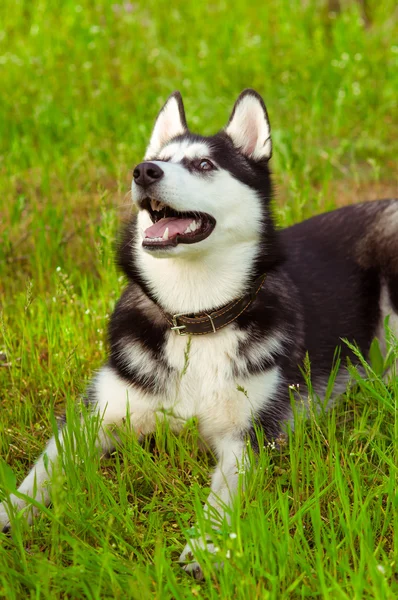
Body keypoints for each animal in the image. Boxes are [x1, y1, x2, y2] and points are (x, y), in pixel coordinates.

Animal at [0, 91, 398, 580]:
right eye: (158, 159)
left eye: (204, 164)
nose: (143, 171)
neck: (197, 317)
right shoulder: (95, 415)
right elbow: (42, 470)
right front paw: (10, 512)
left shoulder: (248, 437)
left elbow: (222, 497)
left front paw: (207, 544)